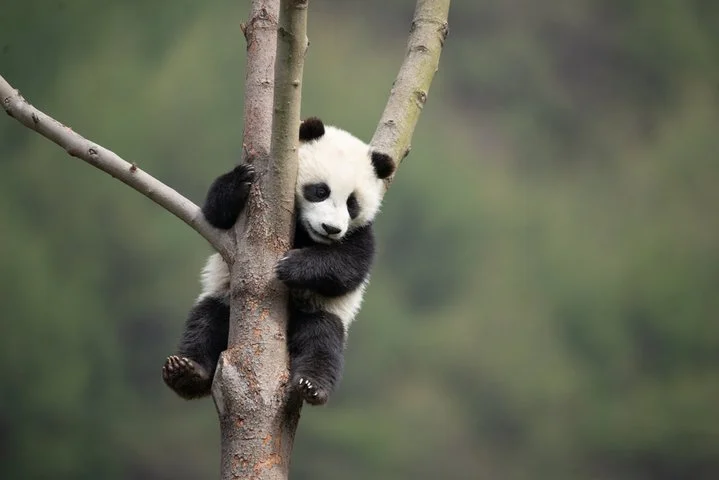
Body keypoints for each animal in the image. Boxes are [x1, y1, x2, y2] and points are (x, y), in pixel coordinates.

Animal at [162, 117, 395, 405]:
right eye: (320, 191)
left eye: (352, 203)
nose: (331, 229)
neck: (307, 233)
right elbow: (214, 214)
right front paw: (240, 179)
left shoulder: (360, 232)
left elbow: (349, 266)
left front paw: (291, 267)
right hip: (222, 298)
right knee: (205, 322)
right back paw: (187, 374)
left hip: (321, 312)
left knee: (322, 342)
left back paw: (311, 385)